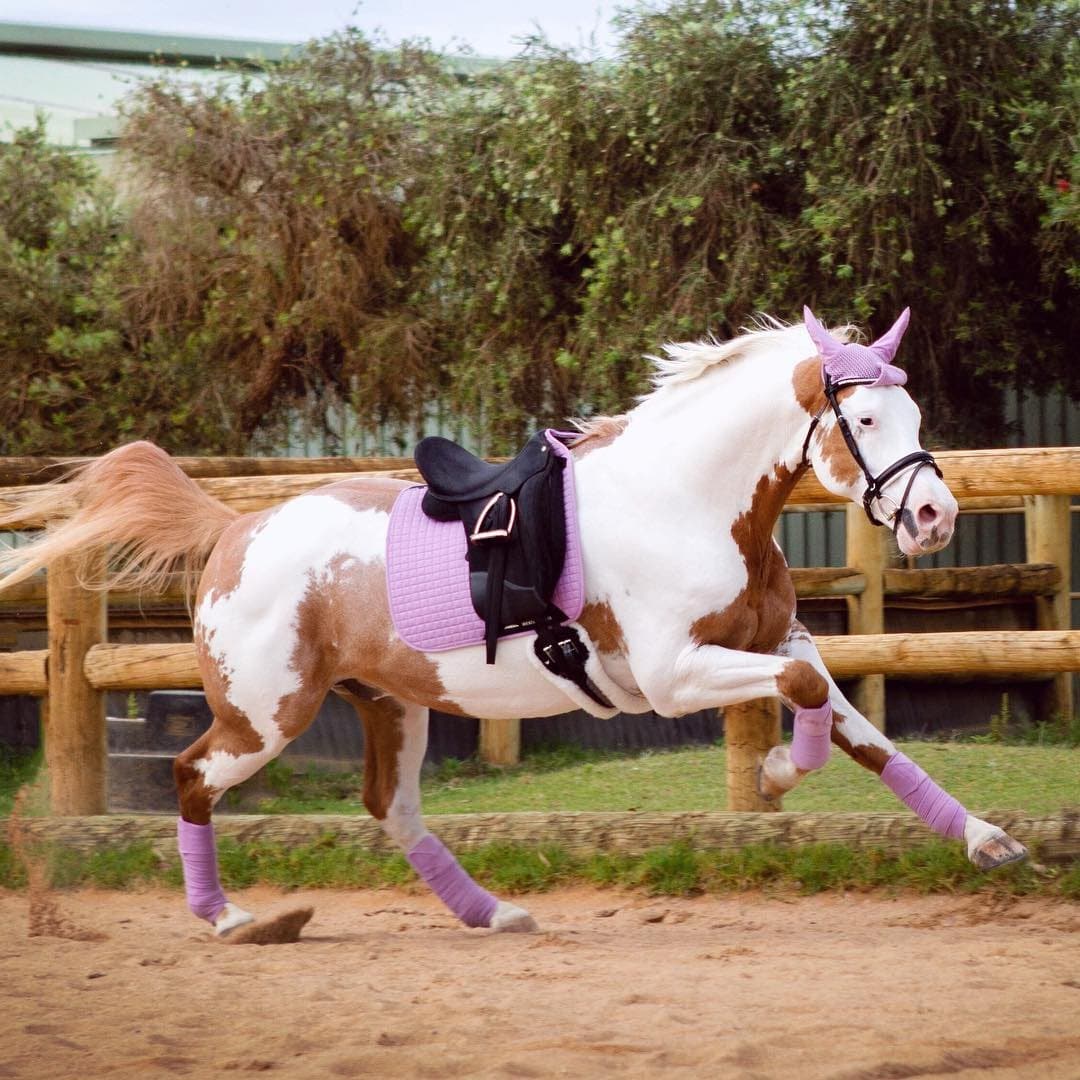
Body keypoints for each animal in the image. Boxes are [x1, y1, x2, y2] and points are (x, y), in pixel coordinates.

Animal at [2, 306, 1028, 937]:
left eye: (913, 408)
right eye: (864, 416)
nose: (935, 516)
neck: (685, 500)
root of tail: (234, 526)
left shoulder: (775, 643)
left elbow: (858, 728)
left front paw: (984, 839)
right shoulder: (672, 674)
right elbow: (811, 701)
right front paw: (776, 774)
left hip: (390, 704)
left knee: (391, 808)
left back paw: (492, 913)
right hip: (266, 715)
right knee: (191, 777)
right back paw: (228, 918)